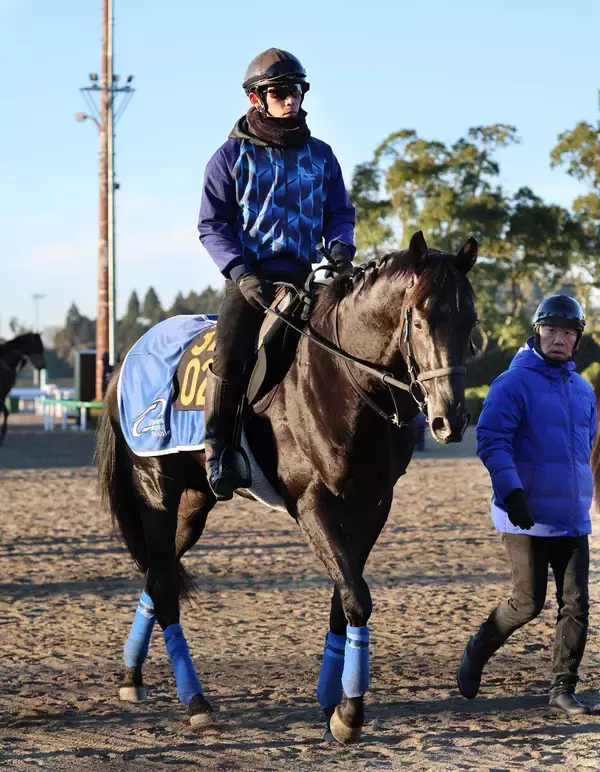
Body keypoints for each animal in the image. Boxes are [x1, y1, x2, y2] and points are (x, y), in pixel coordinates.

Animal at [96, 231, 478, 743]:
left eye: (470, 319)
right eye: (418, 319)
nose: (449, 419)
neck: (344, 379)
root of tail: (125, 362)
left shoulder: (373, 506)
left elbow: (345, 597)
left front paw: (334, 702)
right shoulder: (312, 503)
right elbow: (356, 597)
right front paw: (350, 714)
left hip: (194, 505)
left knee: (159, 577)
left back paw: (133, 675)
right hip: (156, 490)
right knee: (163, 585)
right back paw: (195, 701)